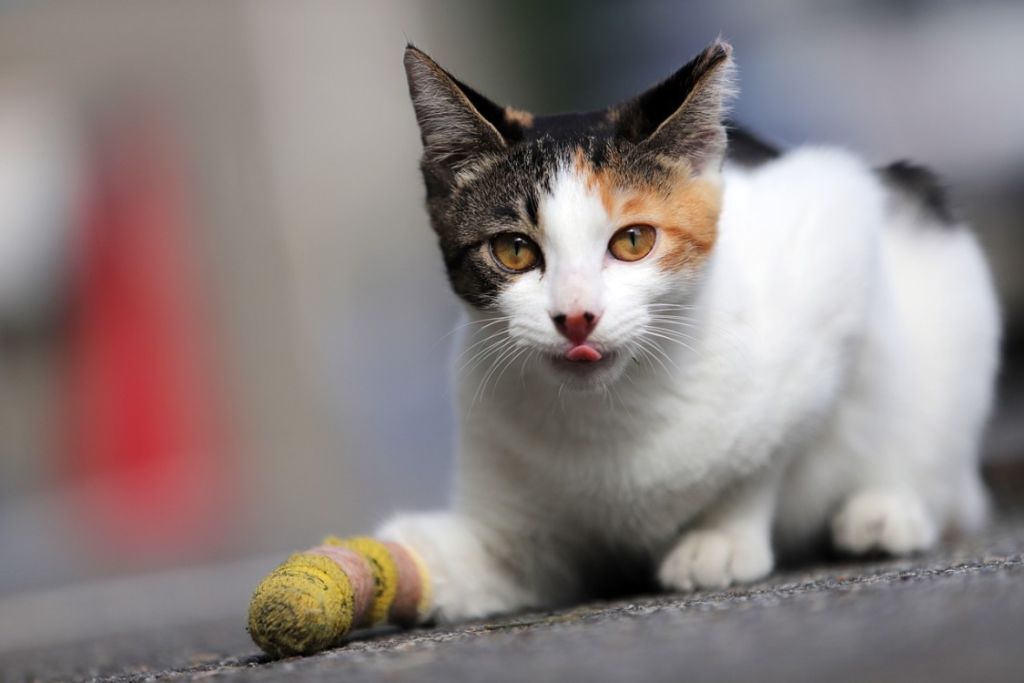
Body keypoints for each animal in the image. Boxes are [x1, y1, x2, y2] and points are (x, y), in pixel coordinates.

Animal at [378, 40, 999, 622]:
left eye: (633, 240)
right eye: (513, 250)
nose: (576, 317)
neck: (610, 414)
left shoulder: (833, 233)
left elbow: (771, 450)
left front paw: (721, 535)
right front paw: (421, 566)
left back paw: (887, 510)